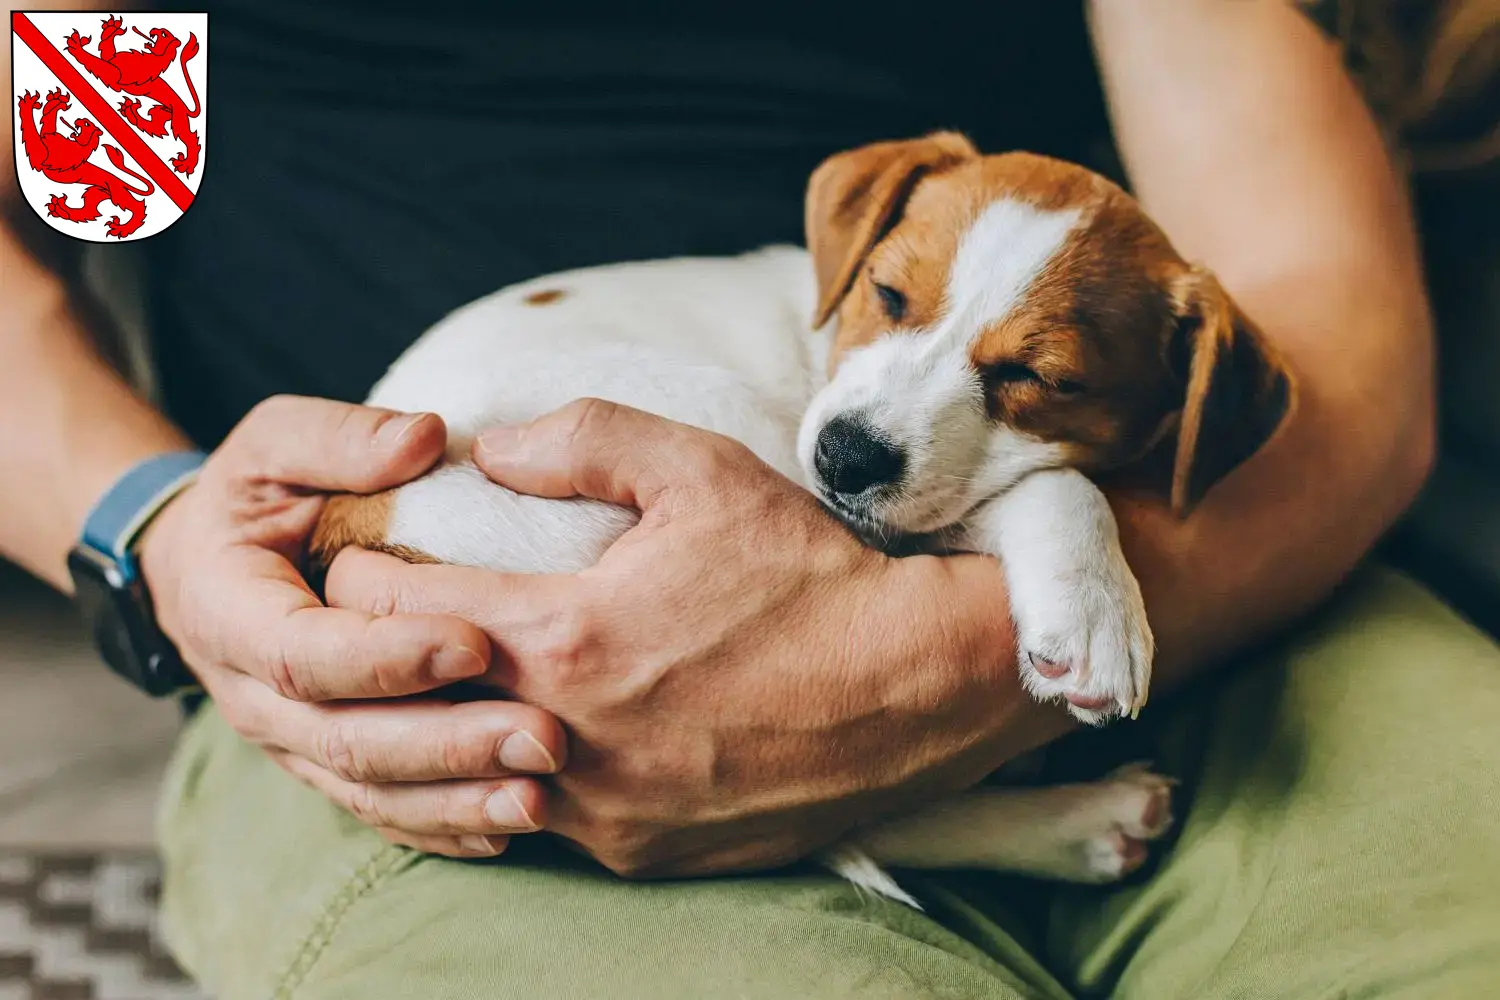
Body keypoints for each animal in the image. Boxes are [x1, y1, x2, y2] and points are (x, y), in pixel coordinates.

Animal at [16, 88, 155, 239]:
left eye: (87, 124)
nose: (78, 120)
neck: (75, 145)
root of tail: (121, 182)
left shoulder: (42, 157)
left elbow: (31, 131)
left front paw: (27, 105)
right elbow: (47, 123)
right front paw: (56, 101)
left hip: (118, 194)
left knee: (137, 207)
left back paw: (122, 228)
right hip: (96, 192)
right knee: (88, 211)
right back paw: (61, 209)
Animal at [65, 17, 201, 176]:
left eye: (163, 34)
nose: (153, 30)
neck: (149, 59)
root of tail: (186, 109)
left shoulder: (116, 76)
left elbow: (97, 63)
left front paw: (77, 47)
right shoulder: (111, 60)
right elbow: (106, 52)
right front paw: (111, 29)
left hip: (178, 121)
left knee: (189, 139)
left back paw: (186, 164)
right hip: (161, 112)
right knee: (153, 126)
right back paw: (130, 110)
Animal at [310, 131, 1296, 905]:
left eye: (1042, 377)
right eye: (888, 295)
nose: (845, 457)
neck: (815, 343)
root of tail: (360, 521)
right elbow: (1055, 488)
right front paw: (1095, 610)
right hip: (727, 421)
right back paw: (1077, 818)